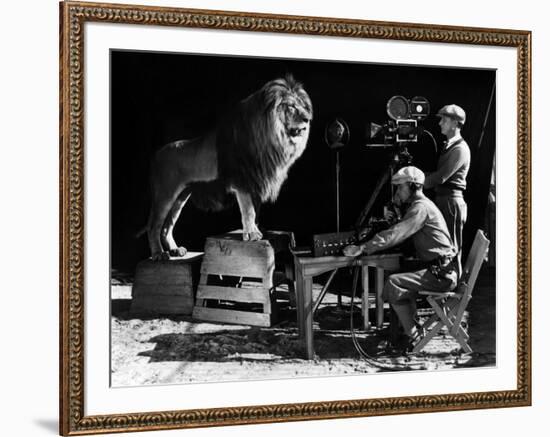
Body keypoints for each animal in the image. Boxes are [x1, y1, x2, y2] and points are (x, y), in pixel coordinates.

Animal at [144, 75, 312, 260]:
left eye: (302, 106)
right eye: (291, 106)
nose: (308, 118)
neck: (269, 138)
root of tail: (156, 155)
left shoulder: (256, 181)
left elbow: (256, 210)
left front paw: (258, 230)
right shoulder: (242, 180)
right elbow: (248, 210)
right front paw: (252, 234)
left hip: (180, 197)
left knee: (167, 227)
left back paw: (175, 250)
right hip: (165, 194)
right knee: (154, 226)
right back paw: (159, 254)